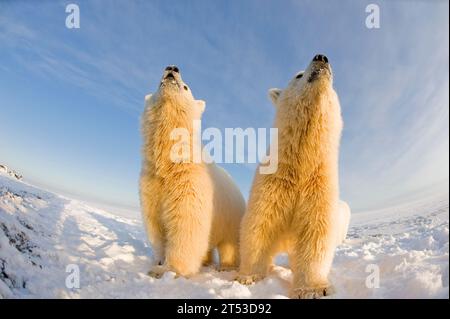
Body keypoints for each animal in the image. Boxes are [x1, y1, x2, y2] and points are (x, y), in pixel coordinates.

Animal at [141, 64, 246, 278]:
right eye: (158, 83)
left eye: (186, 87)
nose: (172, 68)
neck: (169, 163)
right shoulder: (151, 183)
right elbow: (155, 223)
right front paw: (159, 260)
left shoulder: (189, 182)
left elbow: (186, 224)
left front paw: (167, 269)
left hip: (232, 218)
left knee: (230, 244)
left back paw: (226, 265)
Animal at [237, 55, 350, 300]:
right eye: (298, 75)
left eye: (333, 85)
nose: (321, 57)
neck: (300, 164)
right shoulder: (274, 182)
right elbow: (259, 224)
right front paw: (248, 276)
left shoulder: (319, 186)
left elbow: (315, 234)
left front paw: (314, 288)